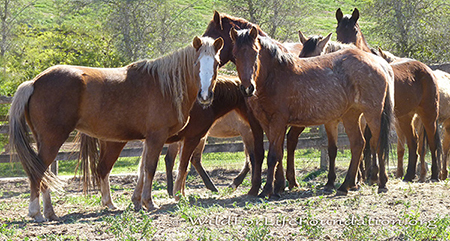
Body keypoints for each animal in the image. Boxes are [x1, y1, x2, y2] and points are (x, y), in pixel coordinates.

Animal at [8, 36, 223, 222]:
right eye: (196, 63)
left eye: (216, 63)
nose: (205, 96)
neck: (165, 85)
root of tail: (34, 82)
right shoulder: (157, 137)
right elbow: (150, 168)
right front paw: (149, 202)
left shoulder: (148, 140)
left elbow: (142, 170)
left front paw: (137, 202)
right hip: (53, 140)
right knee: (38, 172)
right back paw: (37, 213)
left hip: (44, 140)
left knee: (44, 172)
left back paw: (52, 212)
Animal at [232, 26, 394, 198]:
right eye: (235, 55)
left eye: (255, 53)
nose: (247, 88)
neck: (275, 76)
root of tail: (380, 63)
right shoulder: (266, 122)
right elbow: (278, 154)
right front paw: (276, 187)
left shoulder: (278, 121)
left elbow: (273, 156)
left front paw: (267, 189)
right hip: (351, 115)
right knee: (358, 144)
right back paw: (345, 185)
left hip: (373, 114)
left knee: (377, 143)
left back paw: (381, 183)